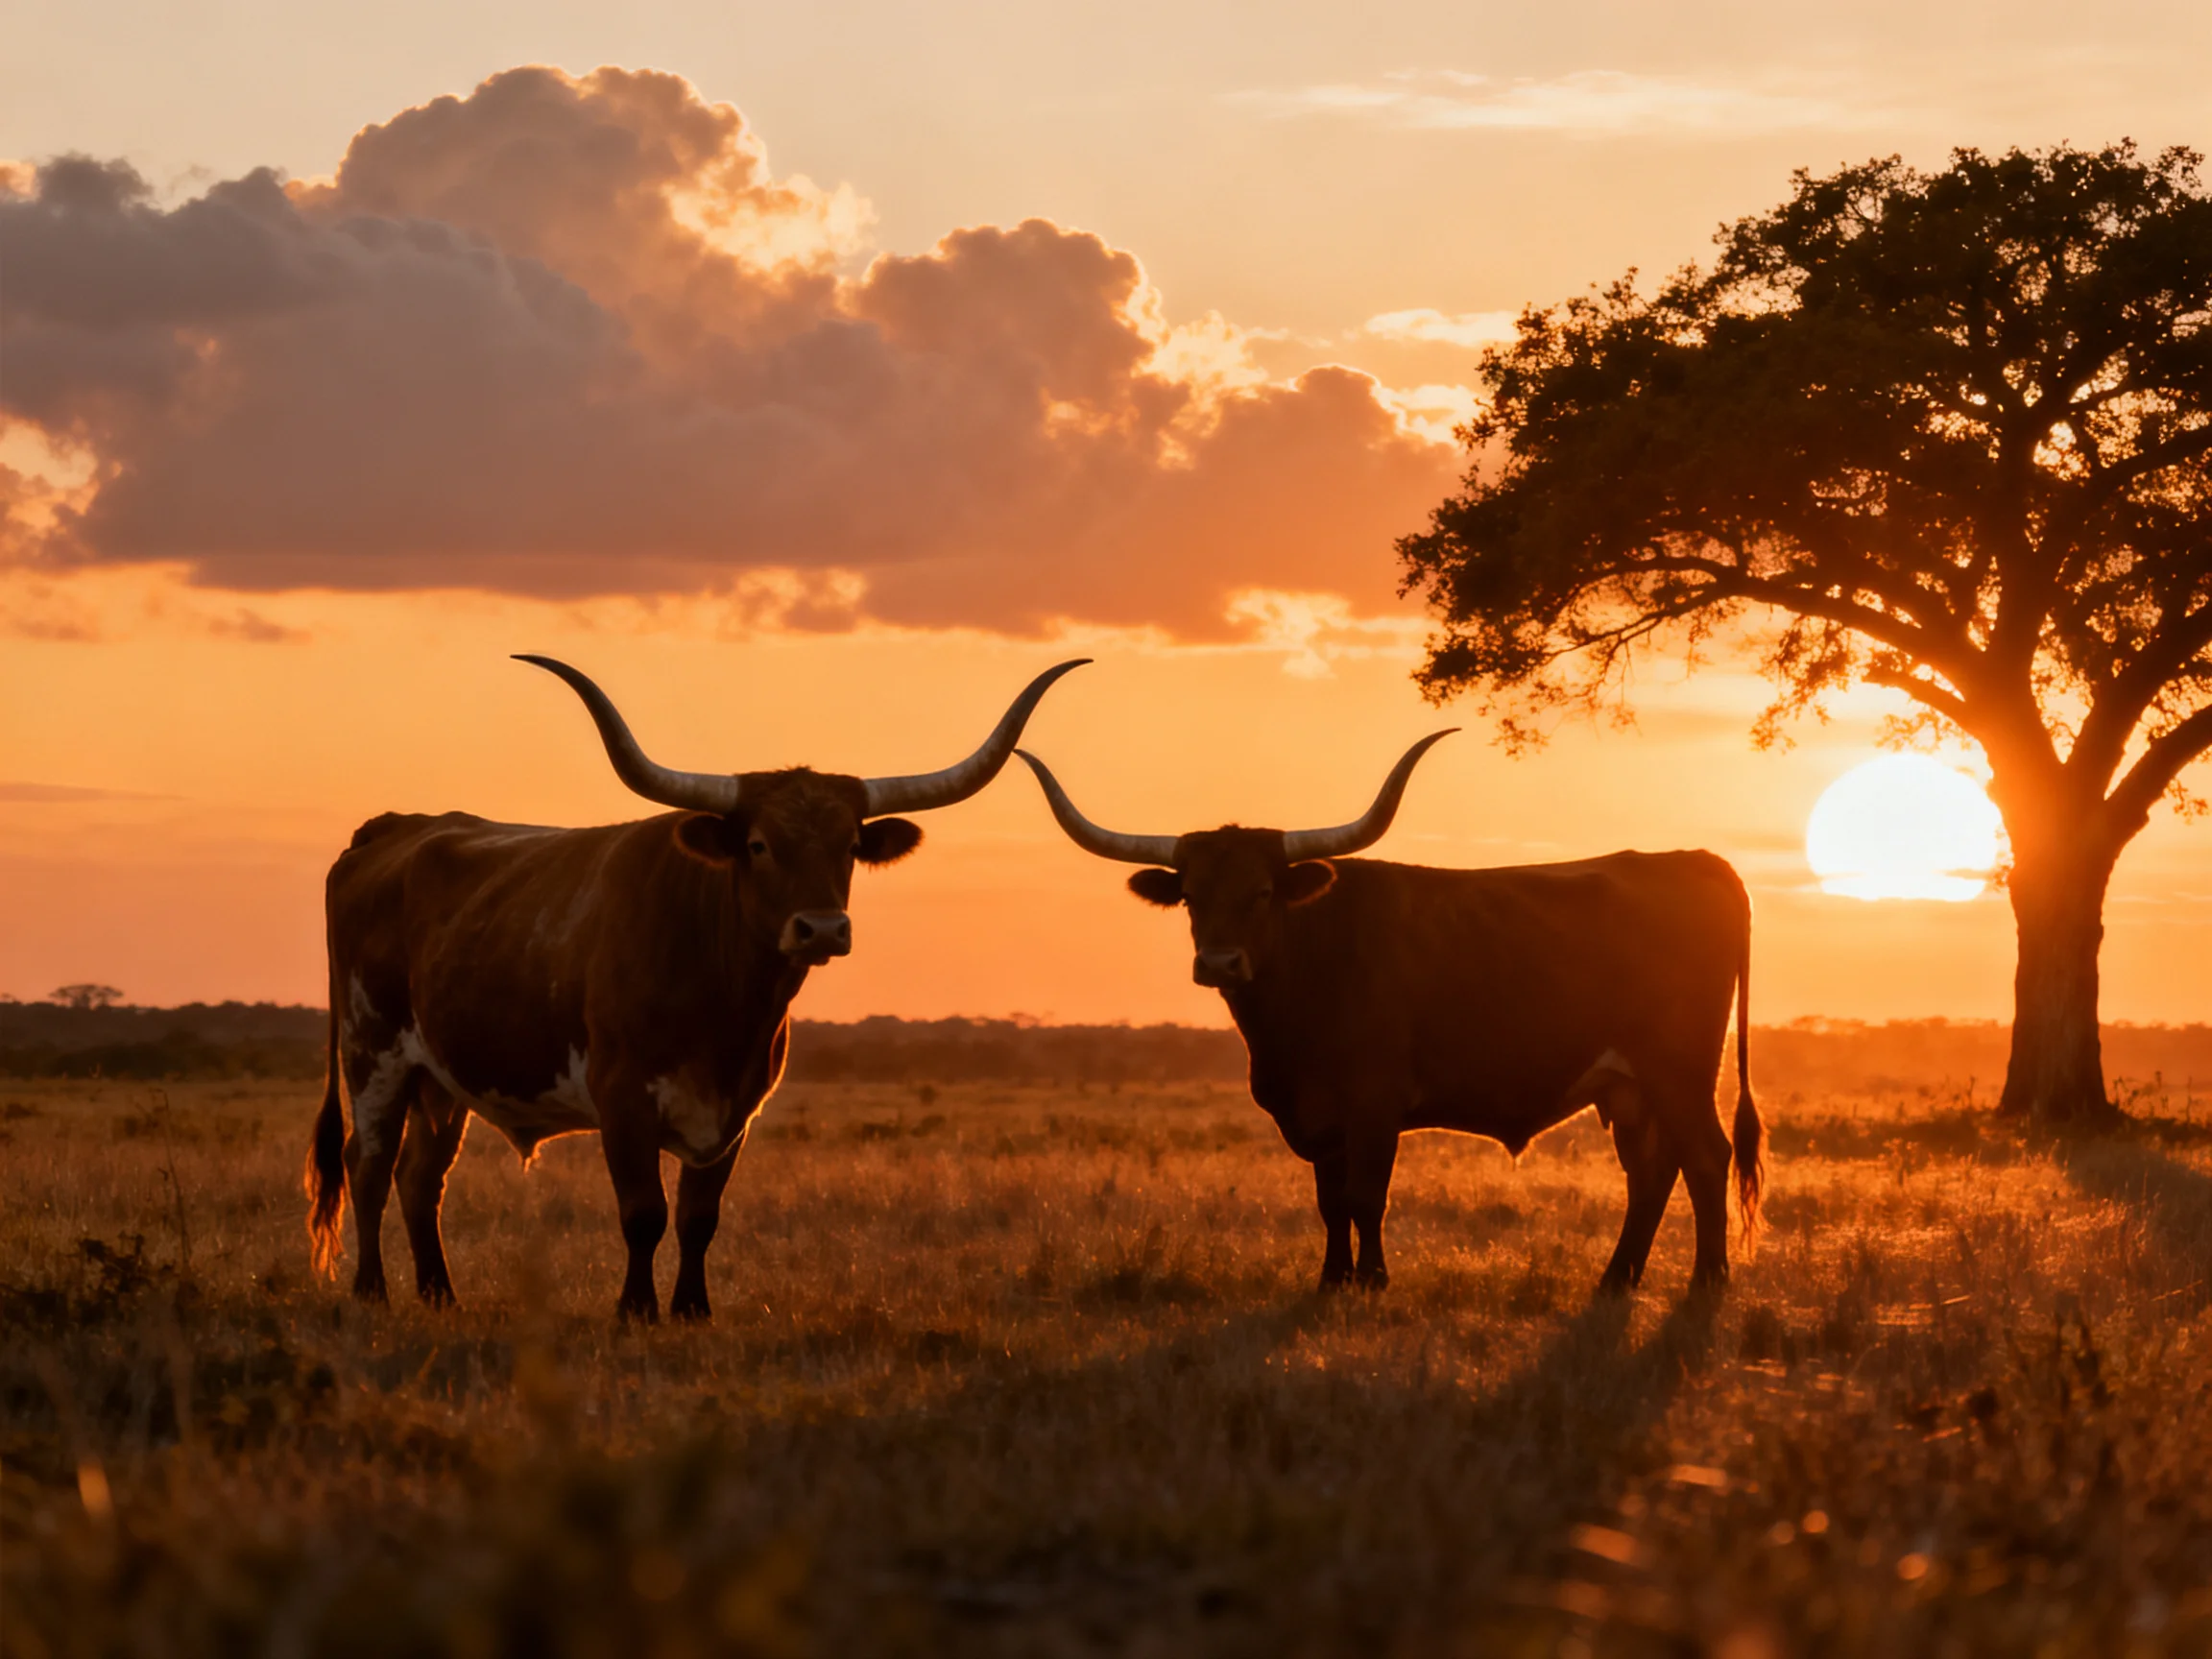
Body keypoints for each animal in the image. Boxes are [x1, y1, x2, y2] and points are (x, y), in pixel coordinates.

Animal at [306, 655, 1087, 1321]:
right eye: (759, 845)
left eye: (849, 847)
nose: (823, 928)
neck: (727, 1007)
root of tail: (391, 830)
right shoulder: (622, 1098)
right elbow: (644, 1211)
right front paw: (635, 1310)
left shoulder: (737, 1108)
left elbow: (699, 1216)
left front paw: (691, 1309)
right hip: (372, 1054)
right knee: (368, 1165)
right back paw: (372, 1291)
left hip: (441, 1079)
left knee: (421, 1177)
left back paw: (441, 1296)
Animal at [1014, 737, 1763, 1294]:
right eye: (1193, 896)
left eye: (1262, 892)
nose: (1220, 962)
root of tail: (1697, 860)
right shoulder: (1316, 1114)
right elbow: (1330, 1199)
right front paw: (1332, 1280)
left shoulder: (1373, 1103)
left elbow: (1367, 1192)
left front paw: (1373, 1280)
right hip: (1629, 1086)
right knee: (1652, 1169)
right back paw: (1617, 1280)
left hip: (1679, 1070)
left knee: (1704, 1156)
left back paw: (1708, 1280)